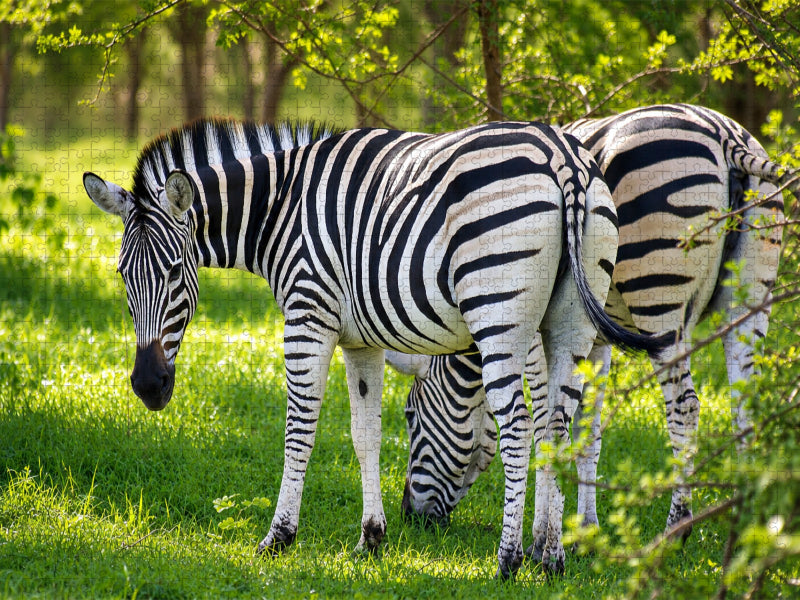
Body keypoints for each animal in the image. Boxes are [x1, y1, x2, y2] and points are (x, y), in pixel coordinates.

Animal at [82, 117, 667, 579]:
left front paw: (279, 538)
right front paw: (371, 538)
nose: (148, 387)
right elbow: (365, 437)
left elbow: (299, 431)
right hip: (567, 324)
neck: (279, 210)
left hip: (498, 314)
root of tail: (562, 156)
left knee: (521, 427)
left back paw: (507, 560)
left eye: (174, 272)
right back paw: (550, 558)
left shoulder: (308, 316)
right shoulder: (361, 341)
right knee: (557, 427)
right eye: (122, 276)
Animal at [388, 103, 792, 571]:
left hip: (659, 294)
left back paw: (677, 528)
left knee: (685, 406)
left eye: (410, 417)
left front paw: (539, 541)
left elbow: (544, 422)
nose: (410, 517)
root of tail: (724, 133)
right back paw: (745, 528)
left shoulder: (533, 336)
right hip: (750, 299)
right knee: (745, 407)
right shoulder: (595, 341)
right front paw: (584, 532)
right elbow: (588, 431)